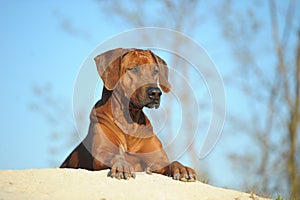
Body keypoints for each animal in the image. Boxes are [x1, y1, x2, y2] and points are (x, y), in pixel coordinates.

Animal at [60, 48, 197, 181]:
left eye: (155, 71)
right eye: (133, 69)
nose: (155, 93)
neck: (130, 121)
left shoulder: (157, 161)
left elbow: (171, 163)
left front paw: (182, 168)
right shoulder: (102, 153)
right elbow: (115, 156)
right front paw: (122, 166)